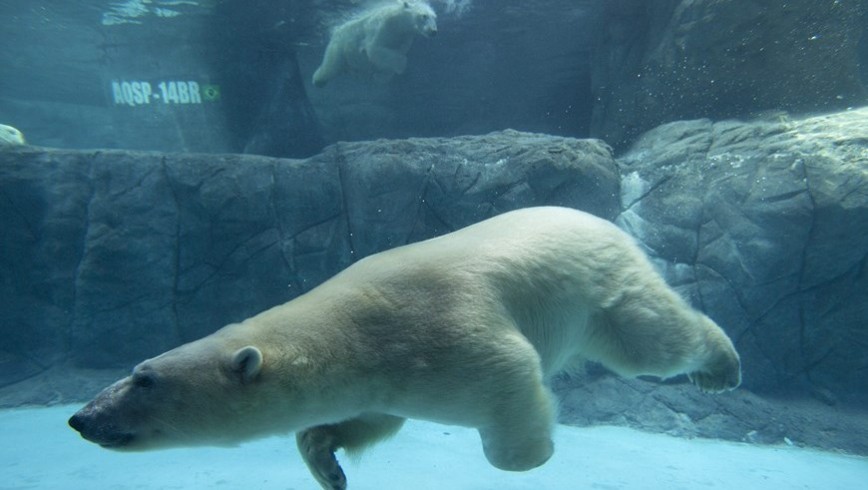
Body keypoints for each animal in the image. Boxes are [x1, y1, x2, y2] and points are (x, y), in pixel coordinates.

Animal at [69, 206, 741, 490]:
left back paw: (721, 366)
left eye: (144, 377)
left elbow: (509, 373)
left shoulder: (440, 333)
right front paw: (328, 466)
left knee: (652, 344)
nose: (81, 418)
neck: (348, 331)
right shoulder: (382, 379)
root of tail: (605, 221)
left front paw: (531, 456)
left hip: (602, 288)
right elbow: (369, 422)